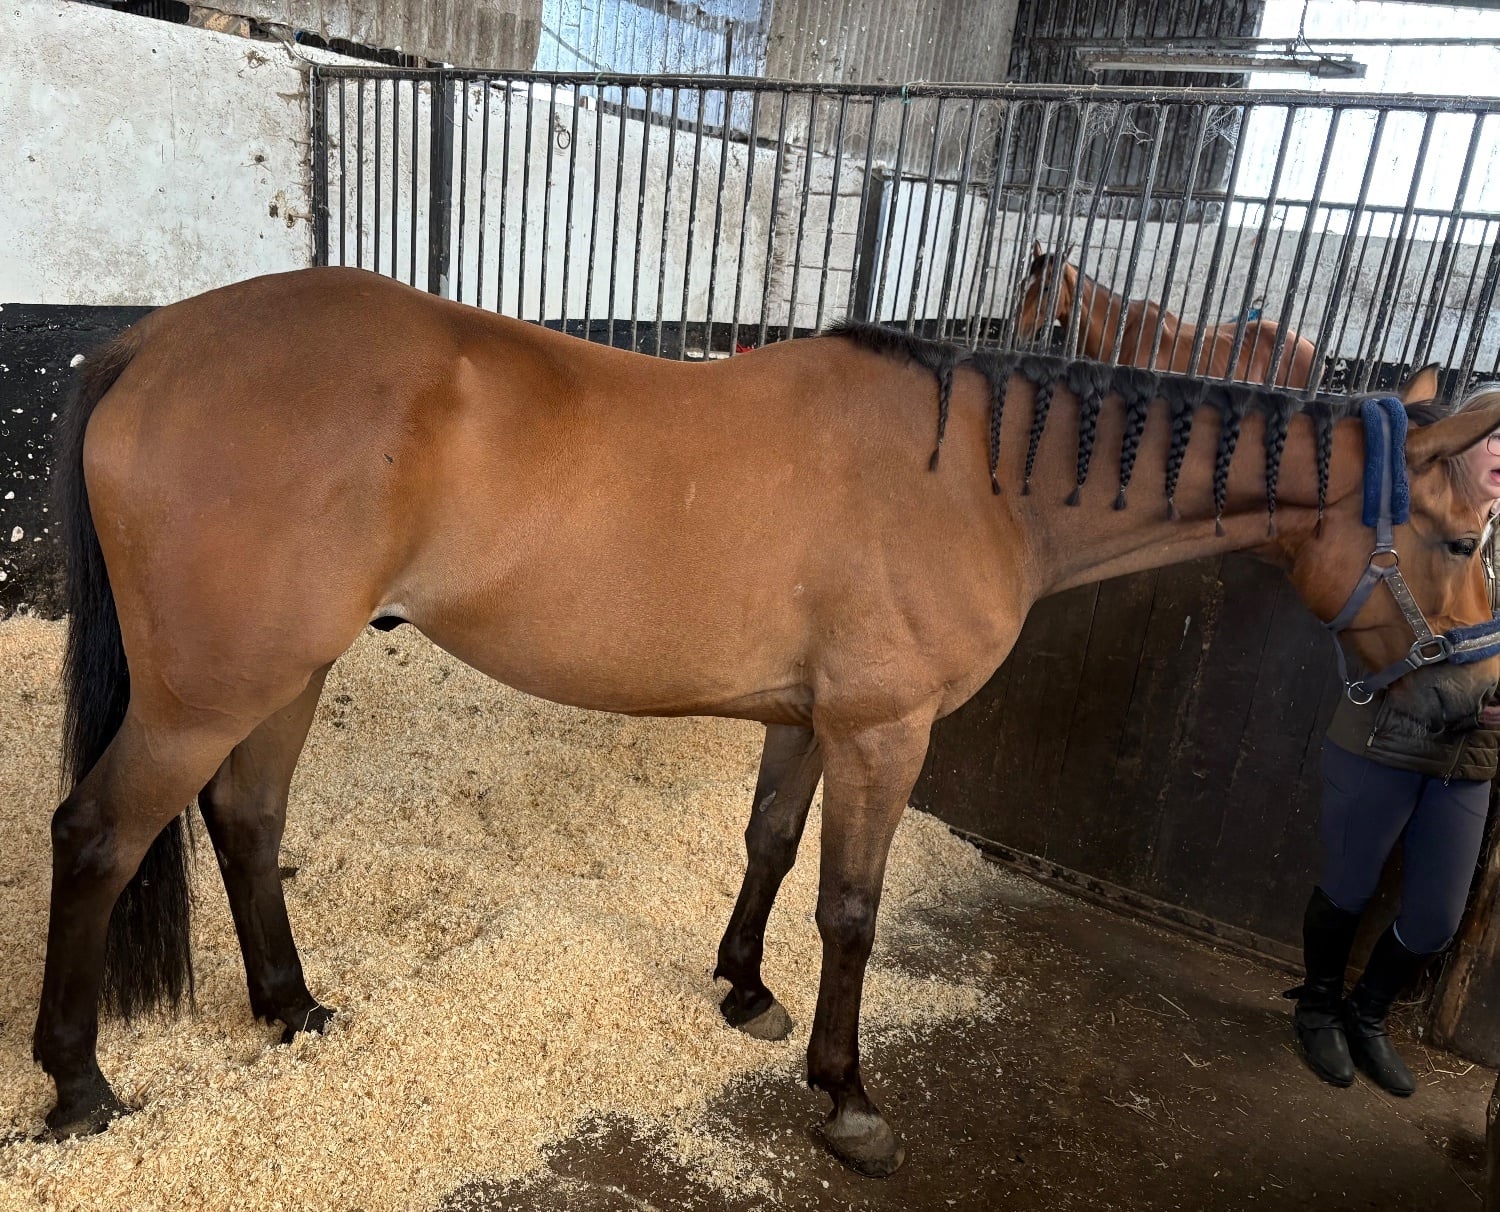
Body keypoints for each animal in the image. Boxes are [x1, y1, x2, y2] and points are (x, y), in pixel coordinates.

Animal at [33, 266, 1500, 1181]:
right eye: (1462, 535)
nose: (1463, 708)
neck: (981, 479)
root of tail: (156, 340)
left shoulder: (813, 720)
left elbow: (771, 849)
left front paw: (742, 990)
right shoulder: (888, 731)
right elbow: (851, 906)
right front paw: (847, 1097)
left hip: (286, 673)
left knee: (245, 820)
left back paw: (294, 1009)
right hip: (210, 689)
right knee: (98, 834)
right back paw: (80, 1085)